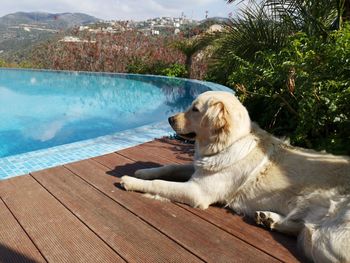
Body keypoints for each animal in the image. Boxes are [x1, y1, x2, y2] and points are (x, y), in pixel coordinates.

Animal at [121, 91, 350, 263]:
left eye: (195, 109)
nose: (169, 119)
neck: (228, 143)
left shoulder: (197, 191)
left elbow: (159, 184)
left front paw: (131, 181)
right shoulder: (200, 171)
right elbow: (170, 167)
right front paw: (143, 172)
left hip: (327, 238)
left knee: (310, 233)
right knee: (303, 229)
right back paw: (269, 219)